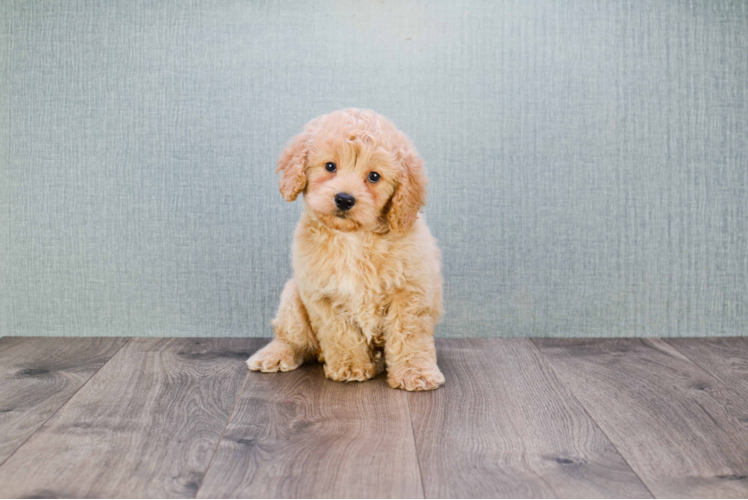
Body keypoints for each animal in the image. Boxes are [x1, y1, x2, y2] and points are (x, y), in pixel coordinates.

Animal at [245, 108, 444, 390]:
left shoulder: (409, 291)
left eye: (374, 176)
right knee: (293, 338)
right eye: (330, 166)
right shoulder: (322, 294)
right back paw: (275, 354)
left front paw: (415, 373)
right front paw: (351, 366)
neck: (354, 239)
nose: (344, 199)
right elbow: (341, 333)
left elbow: (408, 336)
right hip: (293, 295)